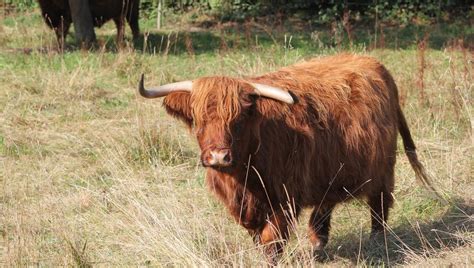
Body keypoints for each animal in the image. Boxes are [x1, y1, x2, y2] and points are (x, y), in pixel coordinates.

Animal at [137, 53, 436, 262]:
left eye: (239, 120)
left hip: (383, 167)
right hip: (329, 168)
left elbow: (272, 240)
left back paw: (376, 240)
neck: (243, 176)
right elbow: (257, 236)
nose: (218, 157)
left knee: (379, 204)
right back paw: (318, 242)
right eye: (199, 120)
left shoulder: (284, 197)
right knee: (325, 205)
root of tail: (374, 63)